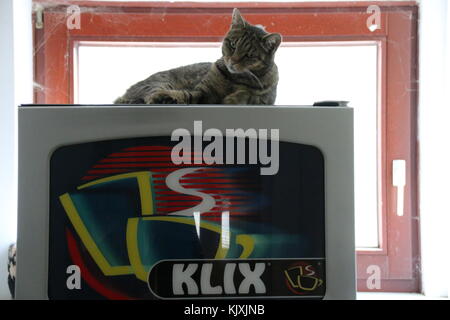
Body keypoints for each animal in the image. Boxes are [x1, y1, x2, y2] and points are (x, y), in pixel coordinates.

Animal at [113, 8, 282, 105]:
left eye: (249, 55)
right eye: (233, 44)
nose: (232, 62)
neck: (234, 79)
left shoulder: (267, 98)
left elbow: (250, 95)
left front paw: (234, 98)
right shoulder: (203, 92)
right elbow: (187, 94)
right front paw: (166, 97)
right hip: (158, 82)